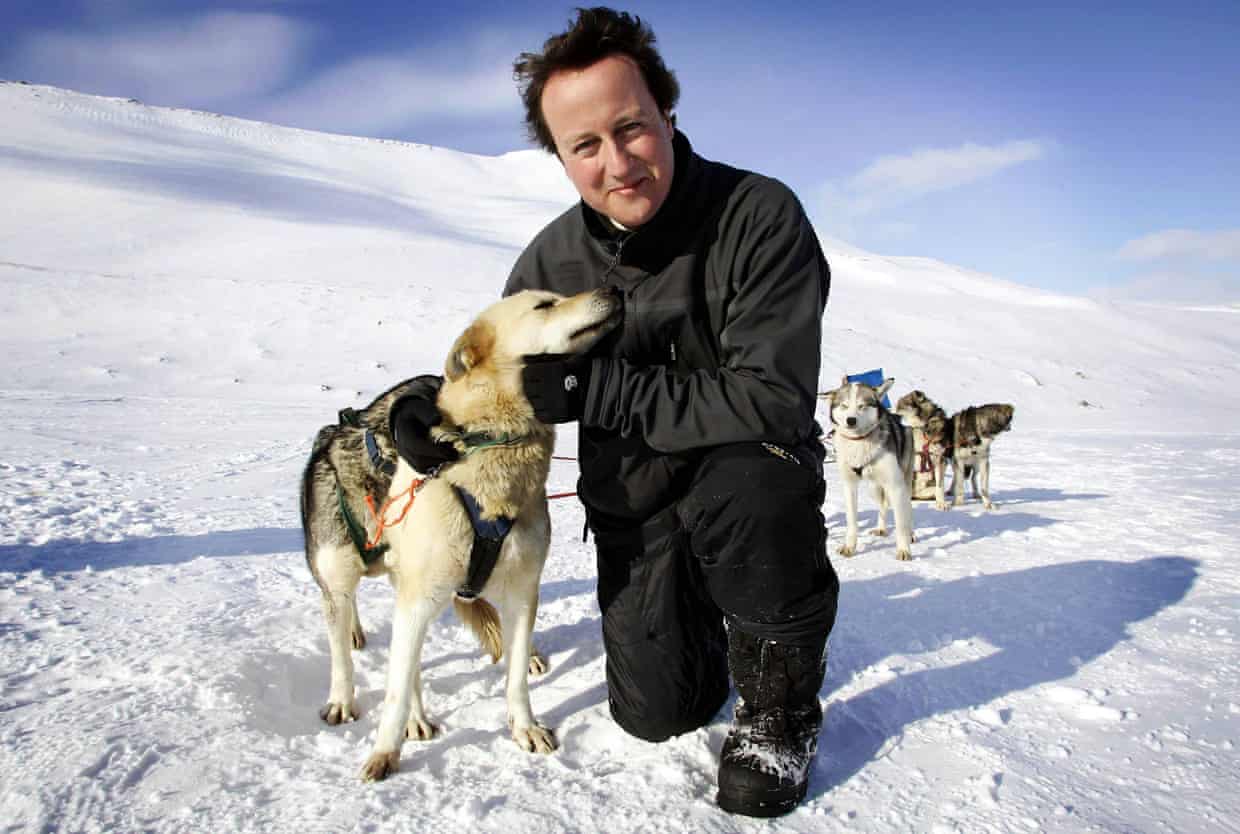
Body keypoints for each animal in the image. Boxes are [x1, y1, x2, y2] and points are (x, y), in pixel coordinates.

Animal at [300, 286, 624, 783]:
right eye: (544, 305)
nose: (613, 289)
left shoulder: (523, 590)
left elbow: (514, 677)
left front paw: (525, 727)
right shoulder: (415, 598)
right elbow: (393, 687)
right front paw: (384, 751)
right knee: (370, 647)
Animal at [828, 376, 917, 560]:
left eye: (862, 405)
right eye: (844, 405)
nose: (851, 420)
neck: (859, 442)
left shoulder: (895, 486)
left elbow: (900, 523)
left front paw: (903, 550)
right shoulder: (849, 485)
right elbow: (852, 521)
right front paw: (849, 547)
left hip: (903, 483)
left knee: (907, 509)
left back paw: (911, 534)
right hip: (874, 488)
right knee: (882, 506)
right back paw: (881, 528)